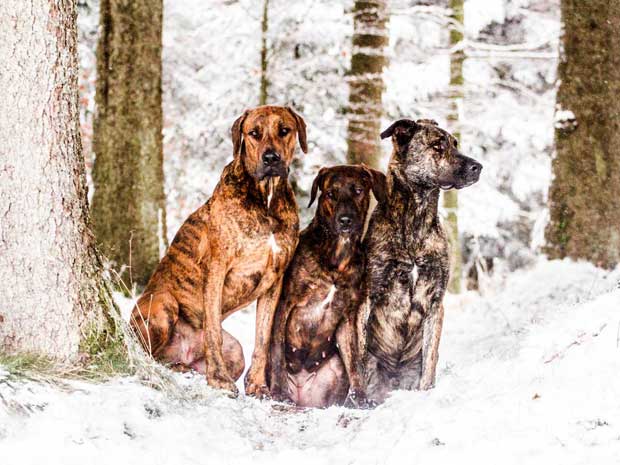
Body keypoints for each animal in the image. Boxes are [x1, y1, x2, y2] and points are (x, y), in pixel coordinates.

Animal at [131, 105, 308, 396]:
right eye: (254, 133)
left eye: (285, 130)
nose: (271, 158)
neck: (266, 198)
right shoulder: (217, 269)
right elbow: (213, 332)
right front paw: (218, 379)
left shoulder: (275, 280)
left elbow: (262, 337)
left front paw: (257, 385)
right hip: (163, 303)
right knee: (147, 352)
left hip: (235, 351)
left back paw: (185, 367)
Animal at [270, 163, 386, 406]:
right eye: (331, 193)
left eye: (358, 190)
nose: (345, 220)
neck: (338, 258)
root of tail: (302, 394)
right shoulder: (284, 304)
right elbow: (276, 352)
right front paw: (277, 392)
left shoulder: (347, 317)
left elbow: (355, 364)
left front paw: (361, 399)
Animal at [360, 117, 482, 402]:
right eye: (437, 146)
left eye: (455, 144)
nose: (478, 167)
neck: (417, 216)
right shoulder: (369, 294)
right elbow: (359, 353)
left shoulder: (436, 301)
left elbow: (431, 357)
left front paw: (427, 391)